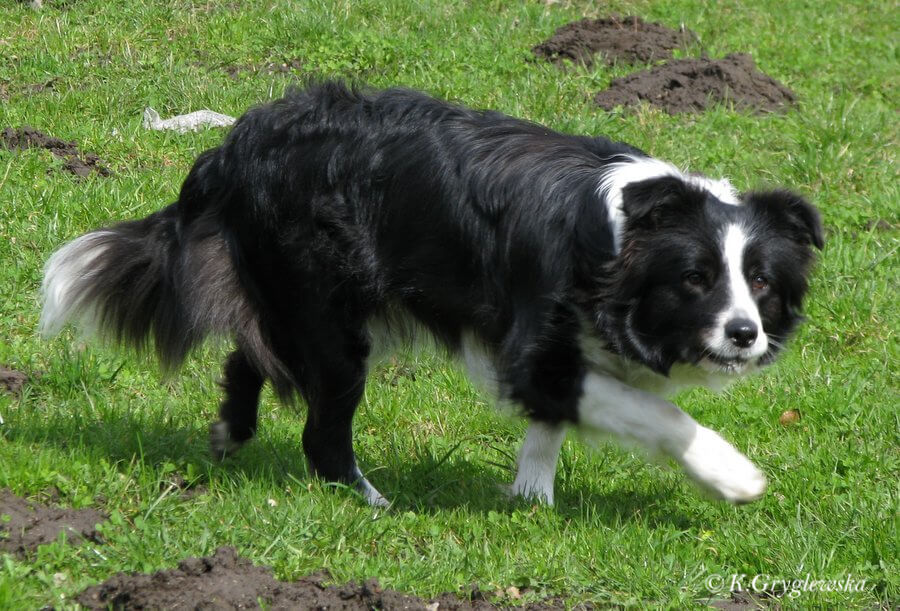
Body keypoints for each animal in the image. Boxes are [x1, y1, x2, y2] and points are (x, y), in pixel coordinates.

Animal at [42, 81, 824, 506]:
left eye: (759, 281)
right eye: (695, 279)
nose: (745, 335)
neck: (618, 251)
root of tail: (234, 146)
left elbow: (550, 425)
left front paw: (531, 498)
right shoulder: (535, 346)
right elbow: (654, 412)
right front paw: (734, 477)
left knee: (251, 354)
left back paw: (229, 435)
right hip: (329, 309)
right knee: (320, 423)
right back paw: (371, 501)